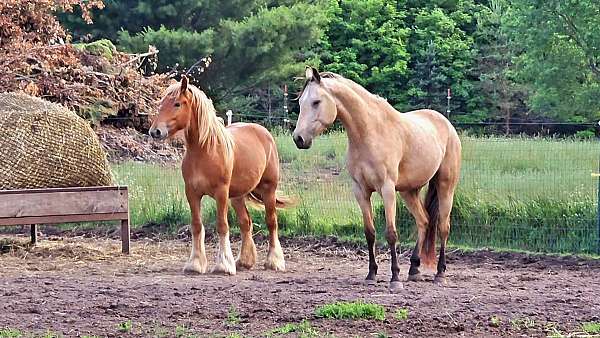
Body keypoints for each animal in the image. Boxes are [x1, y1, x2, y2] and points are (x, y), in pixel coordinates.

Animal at [151, 76, 290, 274]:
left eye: (177, 103)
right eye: (161, 104)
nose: (155, 131)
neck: (205, 150)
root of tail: (263, 132)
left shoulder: (221, 193)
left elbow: (222, 225)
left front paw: (223, 265)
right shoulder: (192, 193)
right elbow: (196, 226)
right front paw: (195, 263)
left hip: (268, 189)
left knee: (271, 222)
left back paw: (274, 261)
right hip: (237, 196)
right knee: (246, 222)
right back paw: (244, 261)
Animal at [292, 67, 462, 292]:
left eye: (316, 102)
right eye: (301, 102)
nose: (299, 138)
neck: (369, 134)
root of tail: (446, 124)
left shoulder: (387, 189)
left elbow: (391, 233)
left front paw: (395, 279)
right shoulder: (360, 191)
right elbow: (369, 232)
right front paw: (371, 274)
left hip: (445, 186)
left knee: (443, 227)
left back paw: (440, 273)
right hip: (409, 191)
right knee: (424, 221)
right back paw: (414, 269)